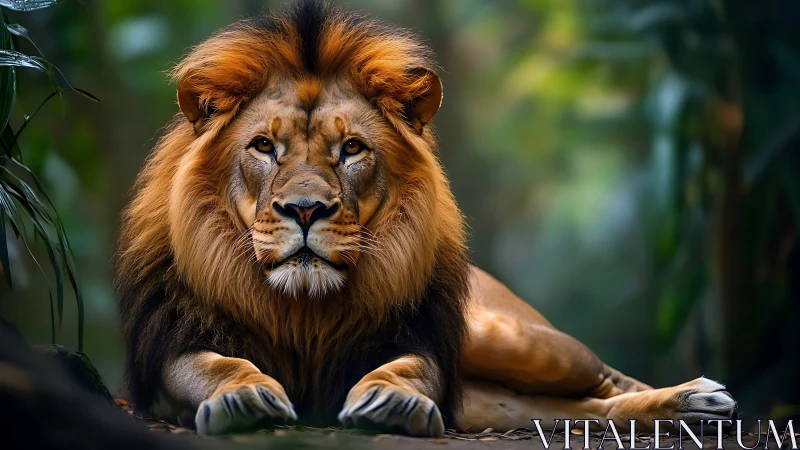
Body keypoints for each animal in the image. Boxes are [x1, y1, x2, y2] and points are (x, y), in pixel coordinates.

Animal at [115, 0, 737, 437]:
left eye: (352, 149)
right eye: (264, 146)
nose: (306, 209)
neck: (304, 313)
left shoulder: (423, 342)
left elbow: (407, 370)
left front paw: (392, 400)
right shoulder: (167, 353)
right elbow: (217, 366)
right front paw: (243, 396)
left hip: (507, 337)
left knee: (603, 376)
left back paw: (700, 398)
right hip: (495, 398)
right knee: (577, 408)